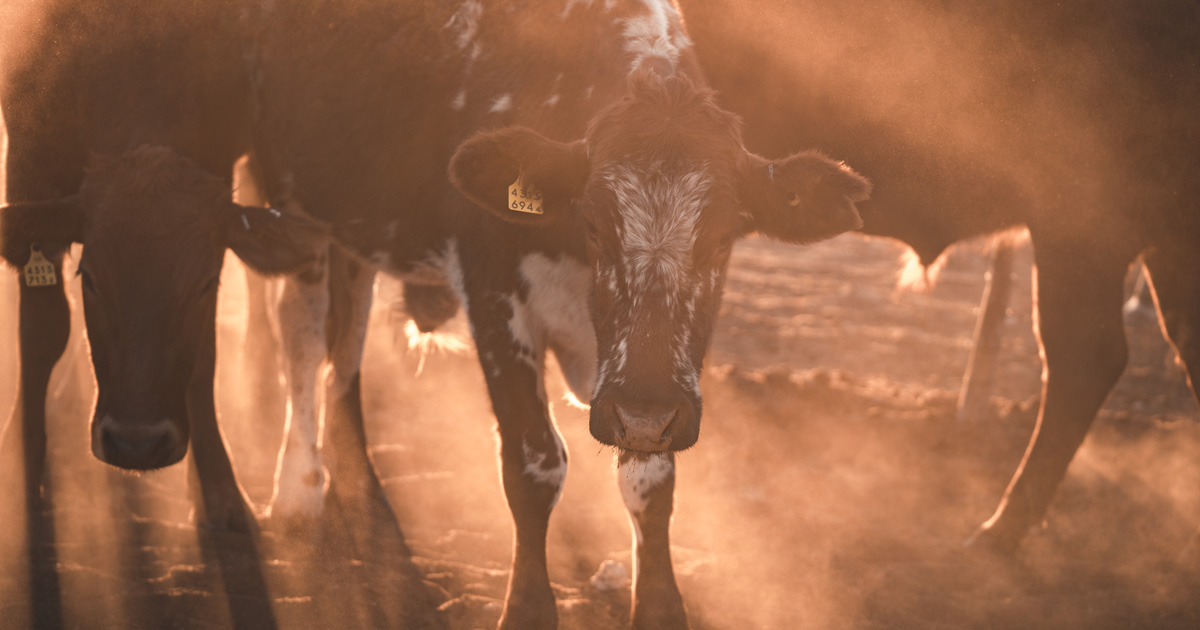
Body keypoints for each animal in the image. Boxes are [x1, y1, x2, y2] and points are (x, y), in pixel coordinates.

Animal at [0, 0, 322, 533]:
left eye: (205, 285)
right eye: (91, 281)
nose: (136, 443)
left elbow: (204, 357)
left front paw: (219, 489)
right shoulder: (31, 165)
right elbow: (43, 333)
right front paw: (23, 472)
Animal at [242, 0, 870, 627]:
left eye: (723, 238)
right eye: (593, 224)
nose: (643, 413)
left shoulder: (651, 389)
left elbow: (651, 478)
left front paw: (659, 603)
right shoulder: (493, 298)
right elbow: (533, 464)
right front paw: (526, 606)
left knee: (347, 337)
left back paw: (357, 477)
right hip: (286, 202)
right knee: (302, 333)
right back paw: (298, 489)